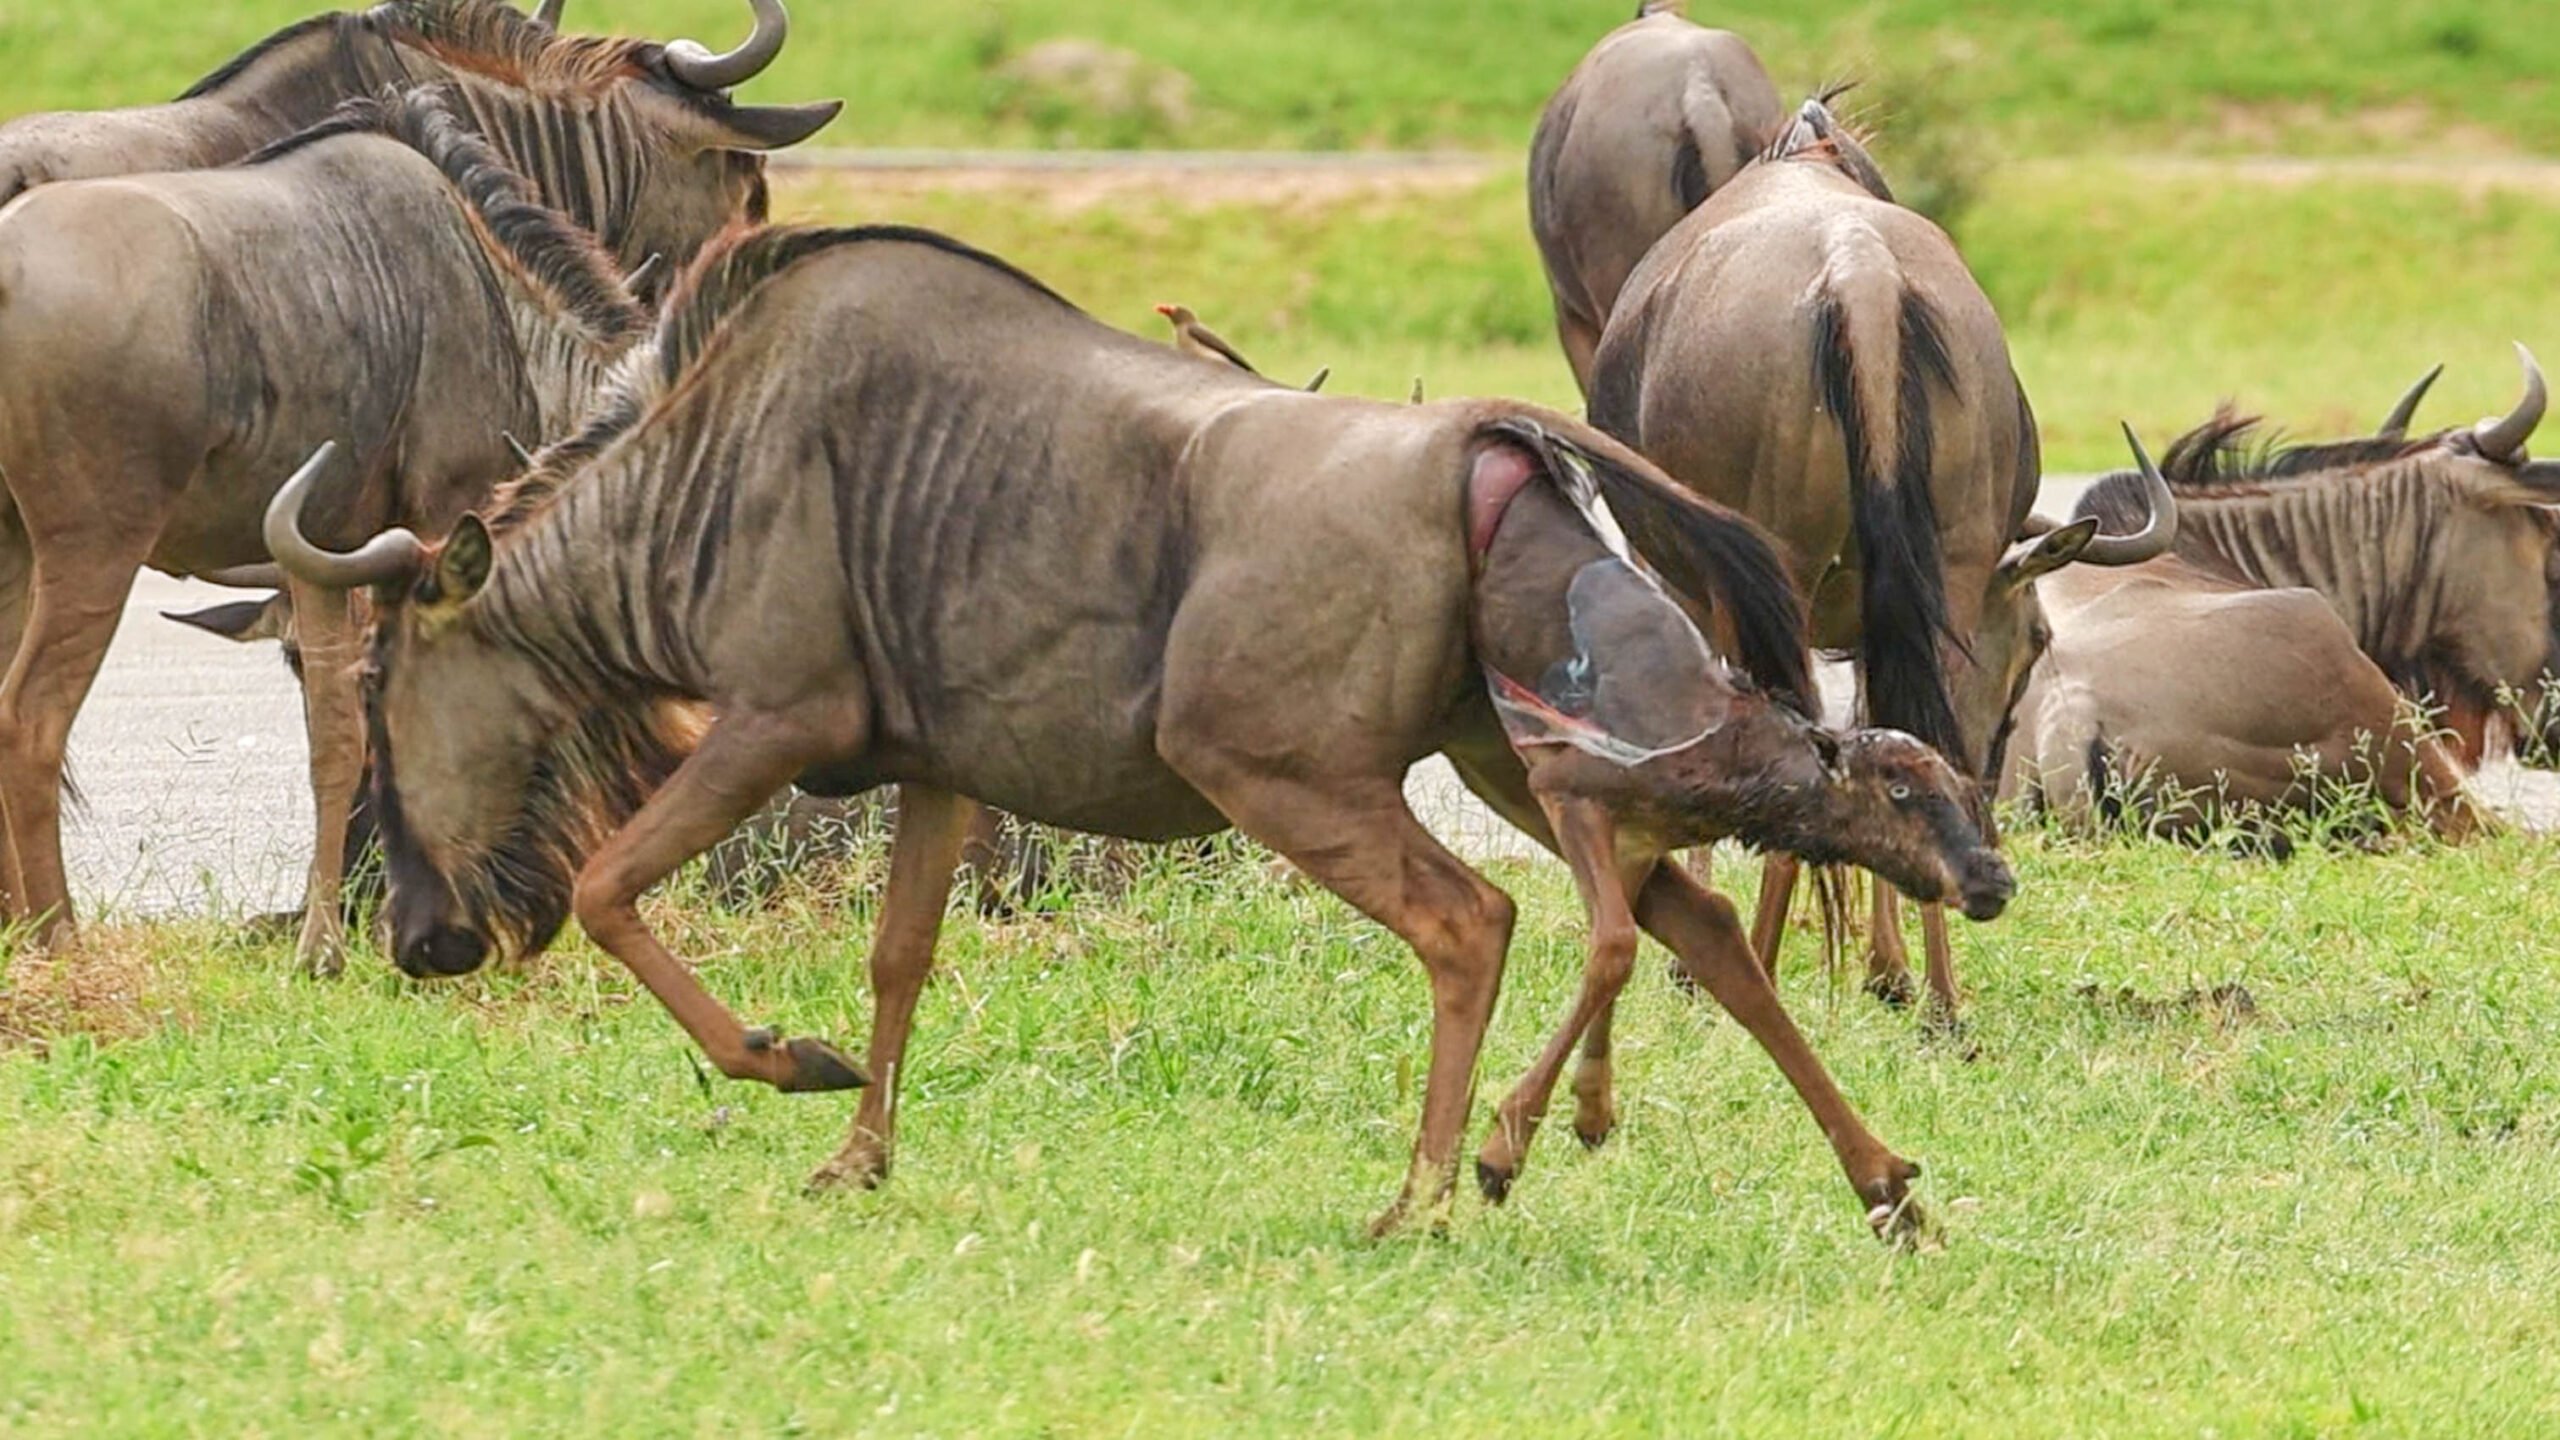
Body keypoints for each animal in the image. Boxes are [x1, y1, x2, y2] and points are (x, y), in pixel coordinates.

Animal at [0, 89, 658, 974]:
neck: (490, 295)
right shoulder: (434, 526)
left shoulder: (321, 554)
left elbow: (335, 741)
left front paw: (326, 944)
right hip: (94, 547)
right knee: (34, 718)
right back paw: (57, 939)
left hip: (15, 549)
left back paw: (13, 931)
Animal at [264, 223, 2014, 1240]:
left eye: (384, 700)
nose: (417, 939)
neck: (707, 473)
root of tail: (1484, 432)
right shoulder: (934, 771)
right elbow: (900, 959)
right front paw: (859, 1157)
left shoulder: (773, 723)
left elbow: (616, 889)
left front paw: (785, 1066)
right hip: (1518, 755)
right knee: (1699, 909)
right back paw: (1879, 1176)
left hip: (1293, 773)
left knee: (1479, 925)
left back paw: (1434, 1191)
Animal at [1587, 103, 2176, 1023]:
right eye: (2037, 642)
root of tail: (1860, 279)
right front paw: (1887, 967)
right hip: (1947, 570)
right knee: (1927, 736)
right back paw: (1939, 998)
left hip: (1778, 577)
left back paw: (1756, 973)